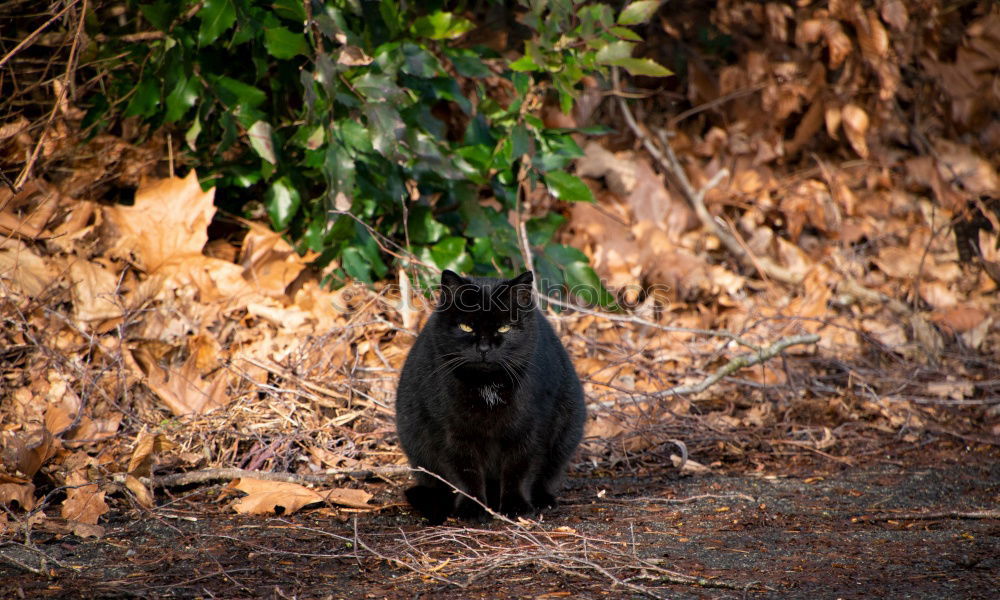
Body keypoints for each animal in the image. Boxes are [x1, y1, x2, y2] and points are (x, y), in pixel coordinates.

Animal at [394, 270, 584, 524]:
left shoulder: (530, 429)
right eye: (466, 327)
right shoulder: (452, 433)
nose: (484, 348)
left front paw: (516, 506)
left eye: (504, 328)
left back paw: (543, 500)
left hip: (566, 432)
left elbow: (519, 470)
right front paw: (473, 509)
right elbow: (465, 474)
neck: (487, 387)